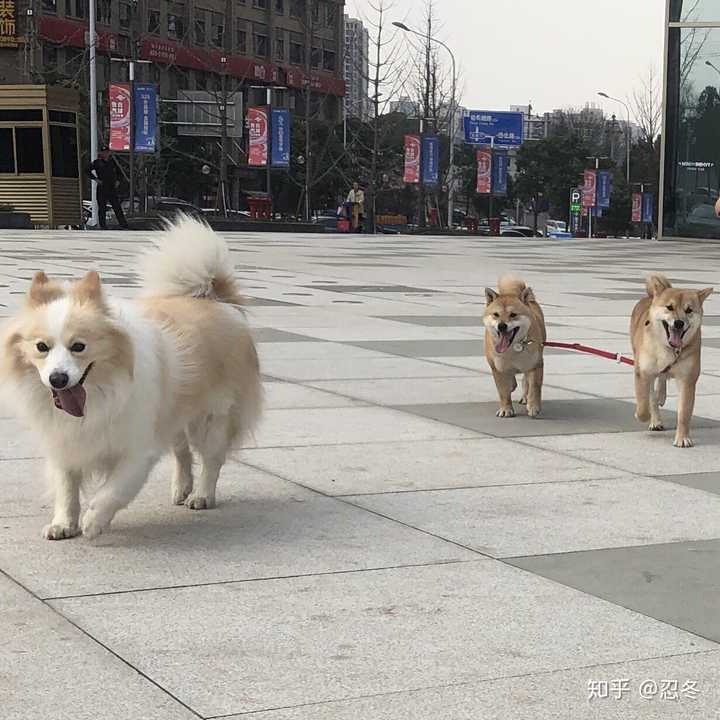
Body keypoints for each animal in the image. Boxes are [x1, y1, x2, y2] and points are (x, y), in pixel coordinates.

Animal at [0, 218, 262, 540]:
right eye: (41, 347)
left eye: (79, 346)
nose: (58, 378)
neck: (98, 393)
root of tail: (221, 302)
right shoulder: (64, 442)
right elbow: (66, 487)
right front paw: (63, 523)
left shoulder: (137, 448)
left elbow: (113, 490)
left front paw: (94, 521)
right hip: (173, 414)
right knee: (182, 453)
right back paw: (181, 488)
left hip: (212, 417)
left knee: (211, 459)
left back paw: (201, 495)